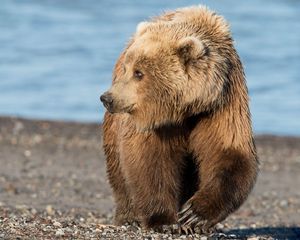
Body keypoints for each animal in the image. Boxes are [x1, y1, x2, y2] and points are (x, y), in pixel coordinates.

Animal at [100, 5, 258, 233]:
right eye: (126, 69)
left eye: (139, 73)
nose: (107, 98)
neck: (186, 108)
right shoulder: (156, 123)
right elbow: (149, 158)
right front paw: (165, 220)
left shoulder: (221, 104)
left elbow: (229, 152)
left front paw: (194, 215)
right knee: (117, 168)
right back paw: (129, 216)